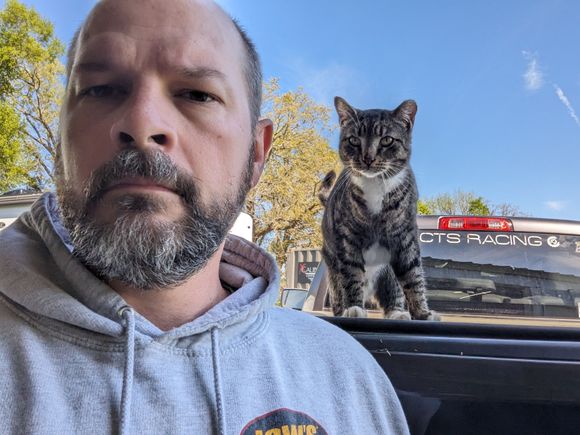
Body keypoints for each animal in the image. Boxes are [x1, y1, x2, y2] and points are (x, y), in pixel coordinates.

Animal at [320, 97, 438, 320]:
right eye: (354, 140)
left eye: (387, 140)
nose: (368, 158)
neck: (375, 184)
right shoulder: (347, 239)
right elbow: (351, 275)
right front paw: (354, 307)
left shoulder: (405, 237)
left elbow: (413, 275)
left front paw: (422, 313)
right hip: (331, 264)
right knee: (338, 288)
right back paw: (342, 310)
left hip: (388, 273)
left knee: (395, 291)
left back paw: (397, 313)